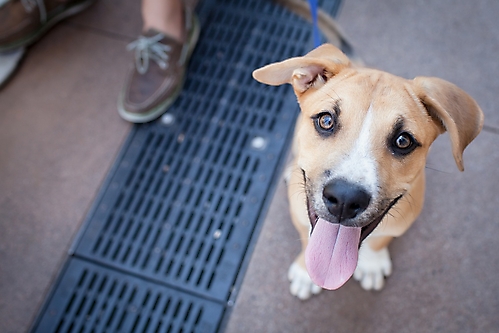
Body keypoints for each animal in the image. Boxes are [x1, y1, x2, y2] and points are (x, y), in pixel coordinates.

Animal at [254, 43, 484, 298]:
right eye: (326, 121)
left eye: (403, 141)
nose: (344, 199)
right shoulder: (300, 215)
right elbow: (307, 239)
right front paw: (305, 272)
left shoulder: (400, 223)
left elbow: (379, 240)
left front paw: (372, 265)